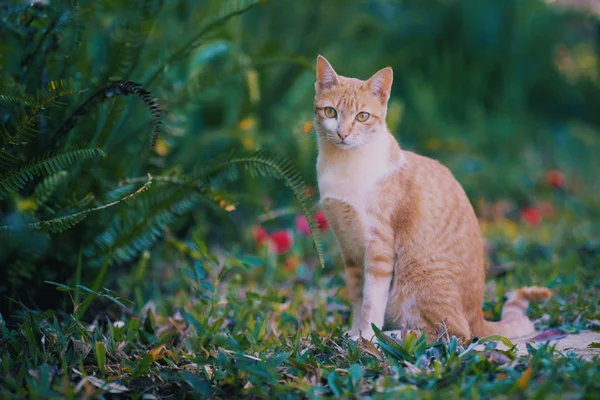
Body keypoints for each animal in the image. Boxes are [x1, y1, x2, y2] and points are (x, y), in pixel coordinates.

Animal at [314, 55, 552, 340]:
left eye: (362, 117)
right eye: (331, 112)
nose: (343, 134)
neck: (343, 165)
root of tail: (478, 315)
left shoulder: (379, 249)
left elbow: (371, 302)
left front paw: (367, 336)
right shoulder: (349, 248)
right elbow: (357, 298)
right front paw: (354, 333)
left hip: (418, 279)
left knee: (453, 333)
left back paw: (393, 335)